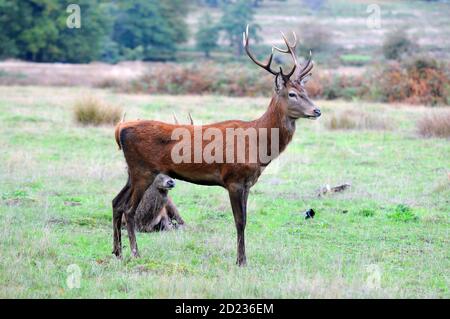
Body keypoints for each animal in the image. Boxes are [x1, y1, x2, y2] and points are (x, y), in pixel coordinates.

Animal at [112, 25, 320, 266]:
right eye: (292, 94)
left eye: (306, 92)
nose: (317, 110)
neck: (258, 145)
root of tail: (120, 129)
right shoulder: (233, 179)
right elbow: (240, 221)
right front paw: (241, 261)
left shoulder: (248, 183)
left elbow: (245, 220)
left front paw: (242, 259)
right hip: (143, 170)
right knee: (129, 209)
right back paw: (135, 253)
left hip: (132, 171)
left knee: (116, 202)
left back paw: (117, 252)